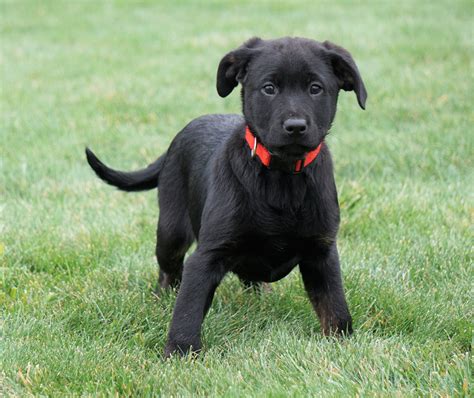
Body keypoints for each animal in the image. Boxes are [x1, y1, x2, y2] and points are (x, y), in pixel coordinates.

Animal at [85, 36, 366, 358]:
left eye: (315, 88)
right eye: (269, 88)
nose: (295, 126)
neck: (282, 176)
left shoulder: (321, 251)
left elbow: (335, 306)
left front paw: (342, 344)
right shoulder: (208, 254)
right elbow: (188, 309)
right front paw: (179, 352)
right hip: (171, 231)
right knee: (169, 272)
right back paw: (162, 299)